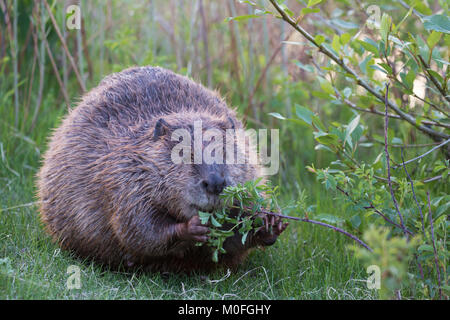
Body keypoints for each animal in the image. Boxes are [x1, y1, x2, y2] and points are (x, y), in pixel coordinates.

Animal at [36, 65, 288, 272]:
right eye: (185, 154)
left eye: (226, 151)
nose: (215, 183)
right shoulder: (125, 179)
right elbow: (137, 228)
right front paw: (193, 227)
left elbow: (232, 241)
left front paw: (271, 223)